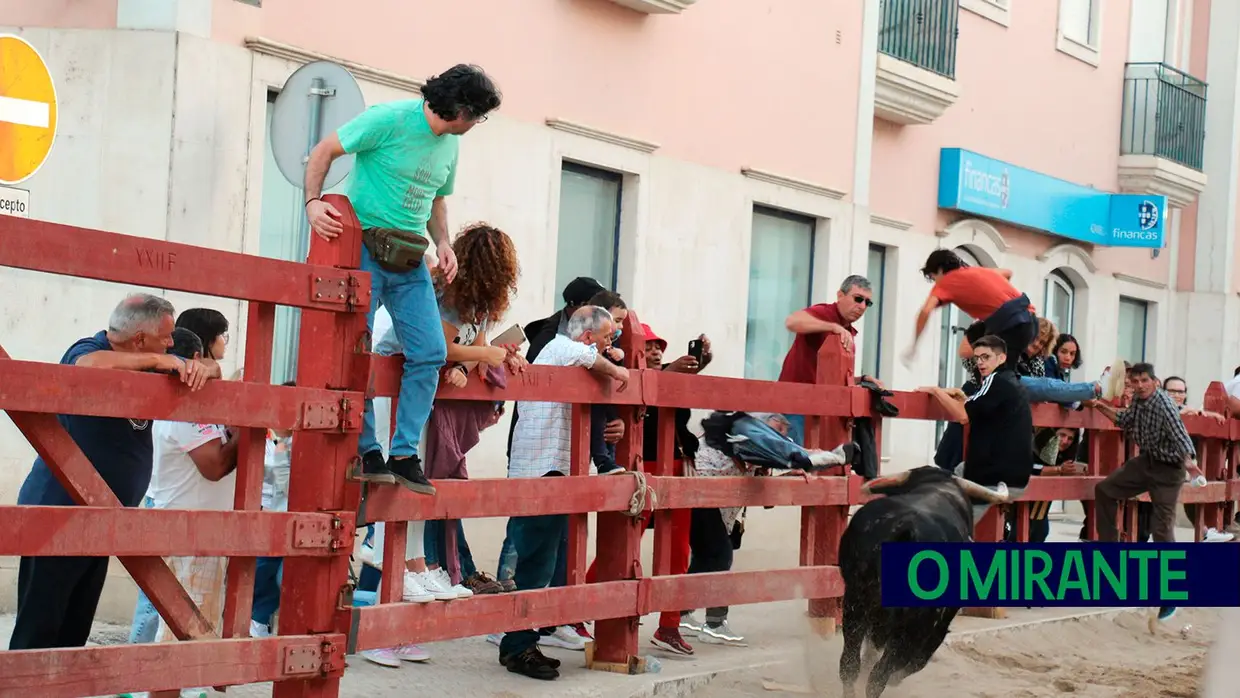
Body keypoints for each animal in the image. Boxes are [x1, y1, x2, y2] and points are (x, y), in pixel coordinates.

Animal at [838, 463, 1011, 698]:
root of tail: (906, 529)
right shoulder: (938, 622)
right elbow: (916, 660)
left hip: (855, 602)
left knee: (850, 665)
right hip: (913, 624)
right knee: (880, 674)